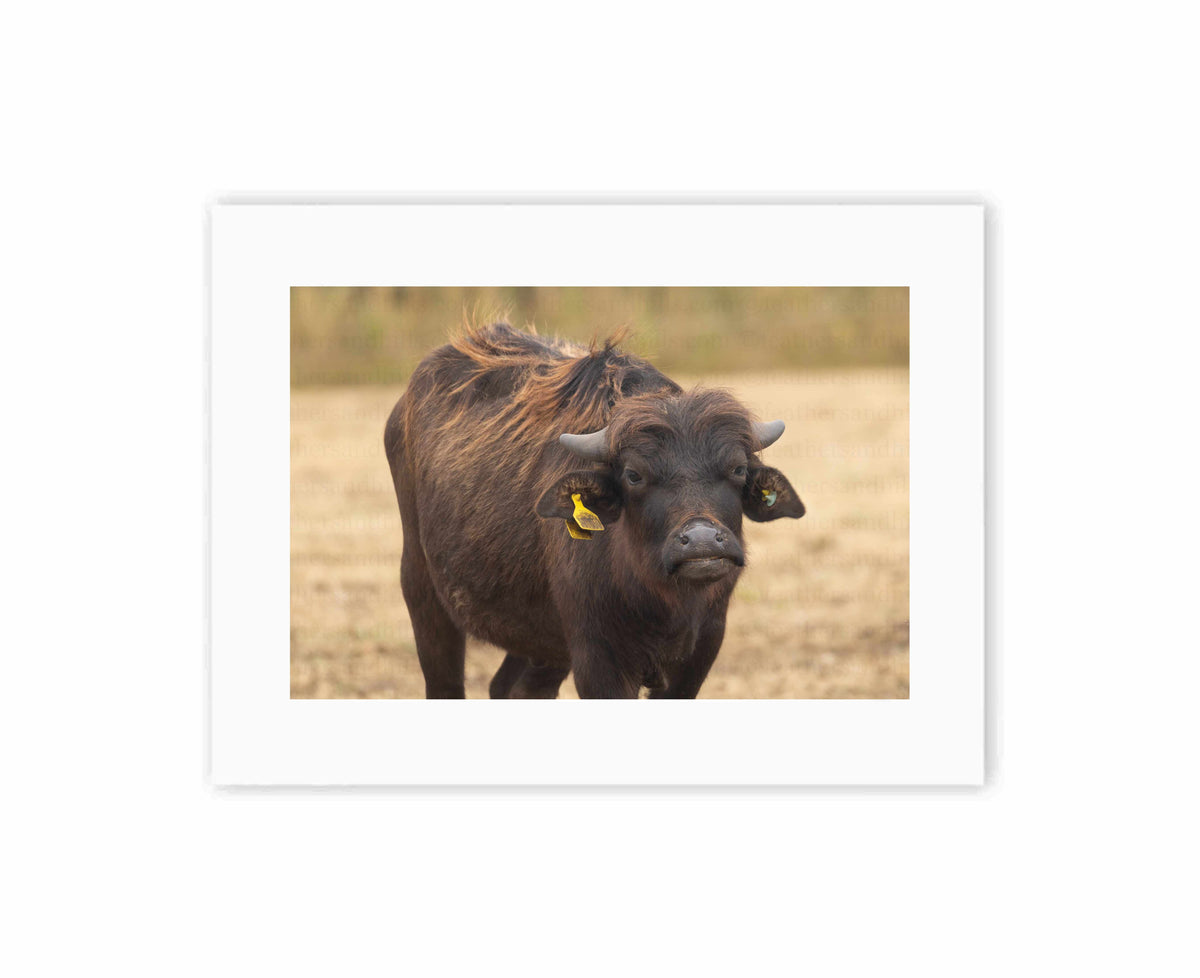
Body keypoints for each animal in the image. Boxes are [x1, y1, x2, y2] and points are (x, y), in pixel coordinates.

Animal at [384, 323, 805, 698]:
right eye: (634, 475)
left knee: (512, 689)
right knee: (446, 684)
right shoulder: (597, 660)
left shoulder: (698, 656)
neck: (662, 602)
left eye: (737, 469)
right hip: (423, 592)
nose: (701, 541)